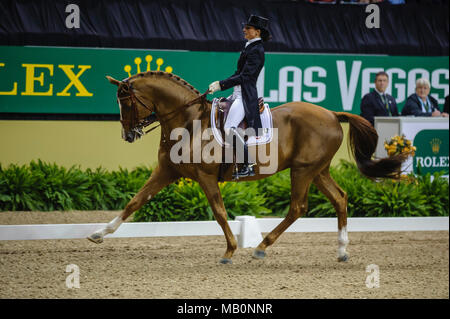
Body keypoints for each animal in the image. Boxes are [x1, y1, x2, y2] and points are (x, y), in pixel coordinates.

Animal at [86, 72, 406, 264]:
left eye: (126, 103)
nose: (128, 135)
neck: (188, 122)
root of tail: (330, 113)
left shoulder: (205, 177)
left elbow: (218, 211)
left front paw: (229, 250)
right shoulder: (167, 171)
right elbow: (135, 201)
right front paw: (99, 234)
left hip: (302, 170)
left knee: (297, 207)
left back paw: (262, 247)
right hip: (318, 170)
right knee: (339, 198)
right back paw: (341, 250)